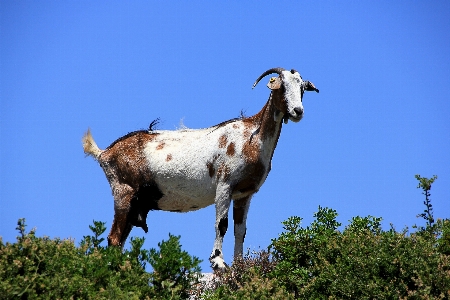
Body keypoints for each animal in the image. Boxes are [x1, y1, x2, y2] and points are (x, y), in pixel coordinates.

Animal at [81, 68, 320, 270]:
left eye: (301, 88)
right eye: (282, 86)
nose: (298, 111)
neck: (252, 137)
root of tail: (104, 153)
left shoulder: (244, 194)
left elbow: (240, 231)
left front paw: (239, 265)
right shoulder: (224, 185)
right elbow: (222, 224)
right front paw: (218, 262)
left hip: (135, 204)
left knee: (120, 239)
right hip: (124, 193)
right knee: (113, 238)